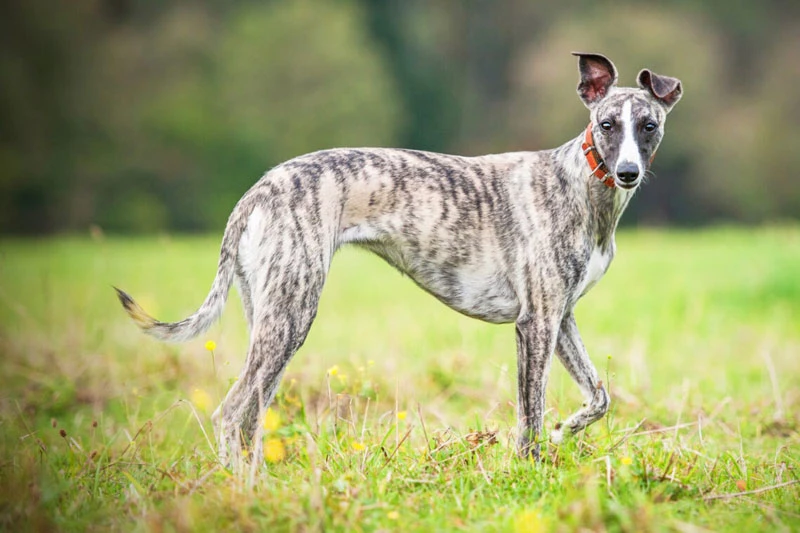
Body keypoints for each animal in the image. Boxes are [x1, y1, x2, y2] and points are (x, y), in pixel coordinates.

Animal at [117, 53, 680, 462]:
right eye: (606, 125)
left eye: (648, 125)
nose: (628, 172)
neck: (581, 185)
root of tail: (257, 191)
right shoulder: (536, 322)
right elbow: (529, 419)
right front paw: (532, 470)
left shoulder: (561, 318)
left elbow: (599, 397)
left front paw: (567, 430)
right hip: (291, 315)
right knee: (232, 413)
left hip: (269, 316)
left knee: (251, 416)